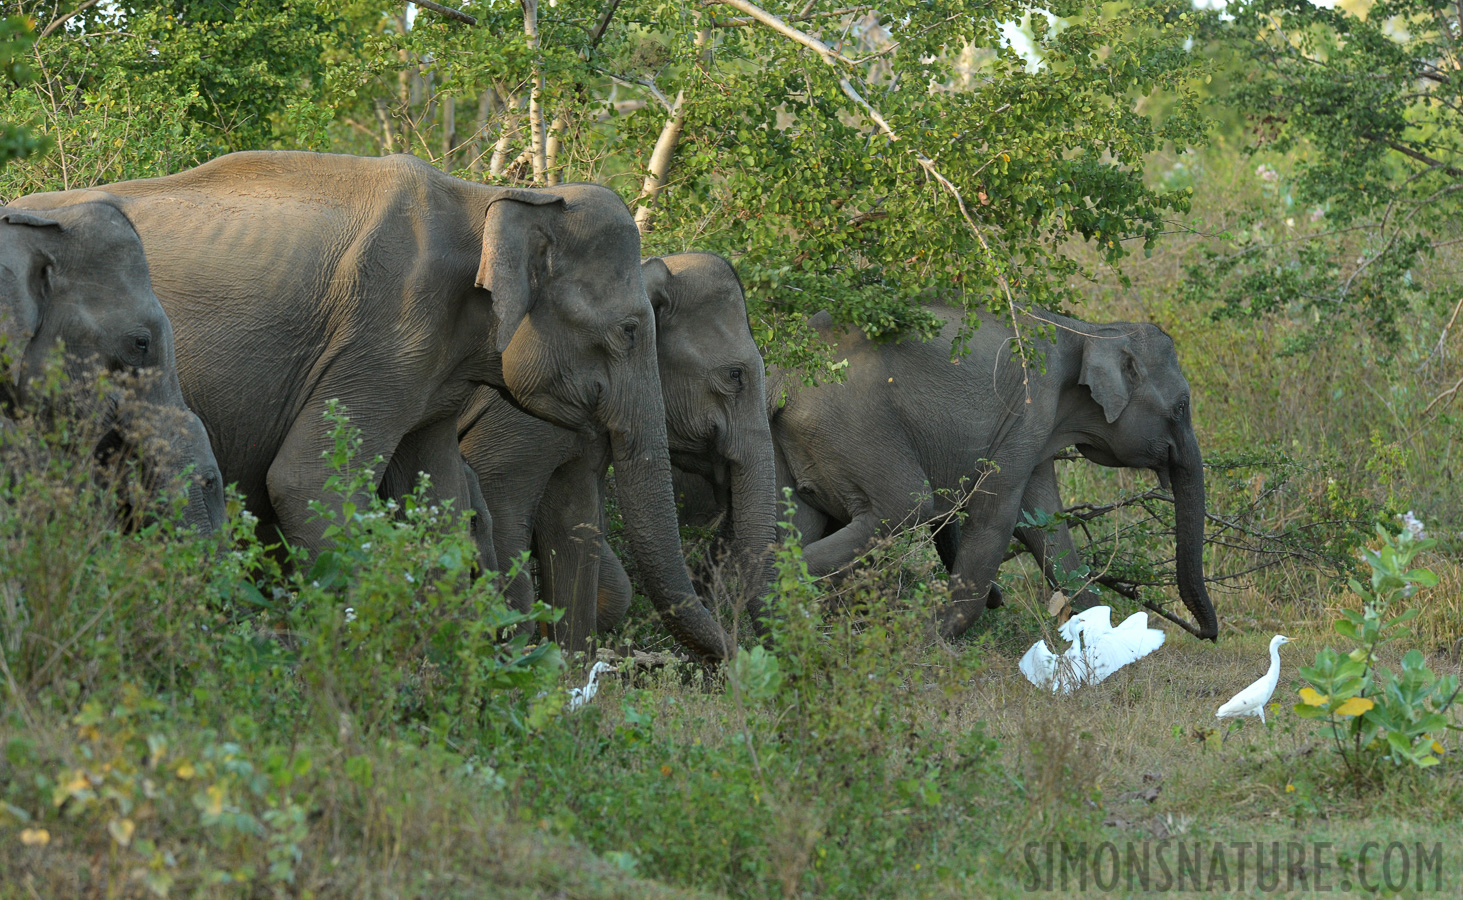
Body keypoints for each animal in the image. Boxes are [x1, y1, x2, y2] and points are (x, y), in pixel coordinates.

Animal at [760, 308, 1217, 640]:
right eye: (1181, 407)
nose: (1206, 634)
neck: (1088, 330)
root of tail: (782, 375)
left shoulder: (1036, 432)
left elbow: (1045, 525)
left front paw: (1104, 637)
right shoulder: (1027, 413)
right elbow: (996, 519)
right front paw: (931, 639)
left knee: (797, 519)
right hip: (852, 424)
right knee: (904, 506)